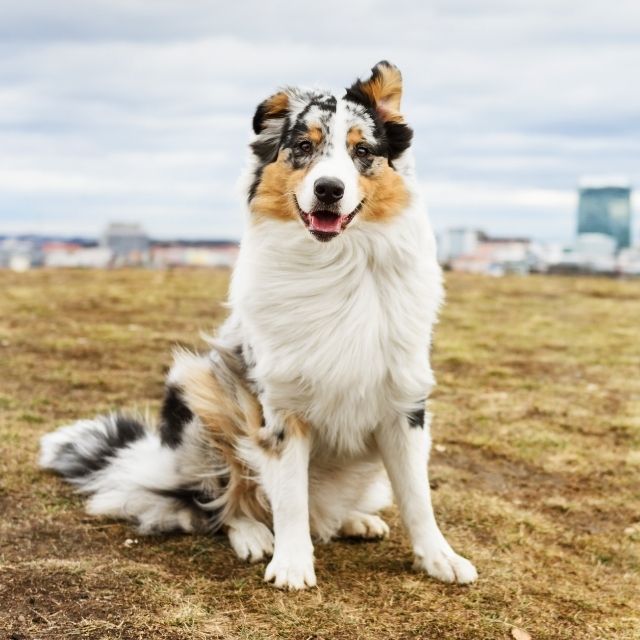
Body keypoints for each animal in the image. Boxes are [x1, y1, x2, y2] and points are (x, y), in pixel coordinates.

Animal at [40, 61, 478, 592]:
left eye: (362, 152)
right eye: (304, 146)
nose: (329, 189)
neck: (338, 265)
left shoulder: (404, 403)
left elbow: (417, 496)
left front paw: (439, 558)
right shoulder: (278, 409)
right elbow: (288, 497)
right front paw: (291, 564)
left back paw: (354, 520)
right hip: (198, 393)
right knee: (216, 500)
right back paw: (250, 532)